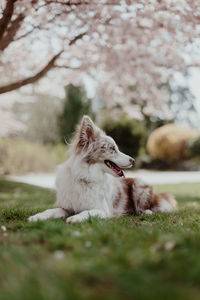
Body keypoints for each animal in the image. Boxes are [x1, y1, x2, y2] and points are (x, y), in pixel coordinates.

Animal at [28, 116, 177, 224]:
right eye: (112, 149)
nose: (133, 160)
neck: (87, 177)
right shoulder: (66, 206)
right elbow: (51, 210)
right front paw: (37, 216)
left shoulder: (103, 210)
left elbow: (88, 211)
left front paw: (75, 217)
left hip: (139, 184)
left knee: (151, 207)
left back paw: (146, 212)